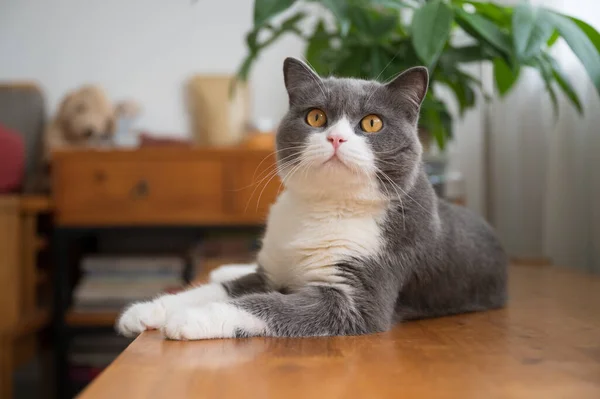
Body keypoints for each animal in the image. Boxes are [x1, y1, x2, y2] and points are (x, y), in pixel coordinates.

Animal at [116, 57, 506, 340]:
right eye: (316, 116)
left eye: (372, 123)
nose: (336, 138)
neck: (325, 206)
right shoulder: (271, 272)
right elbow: (228, 289)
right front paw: (149, 310)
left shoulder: (362, 295)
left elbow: (268, 305)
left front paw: (191, 318)